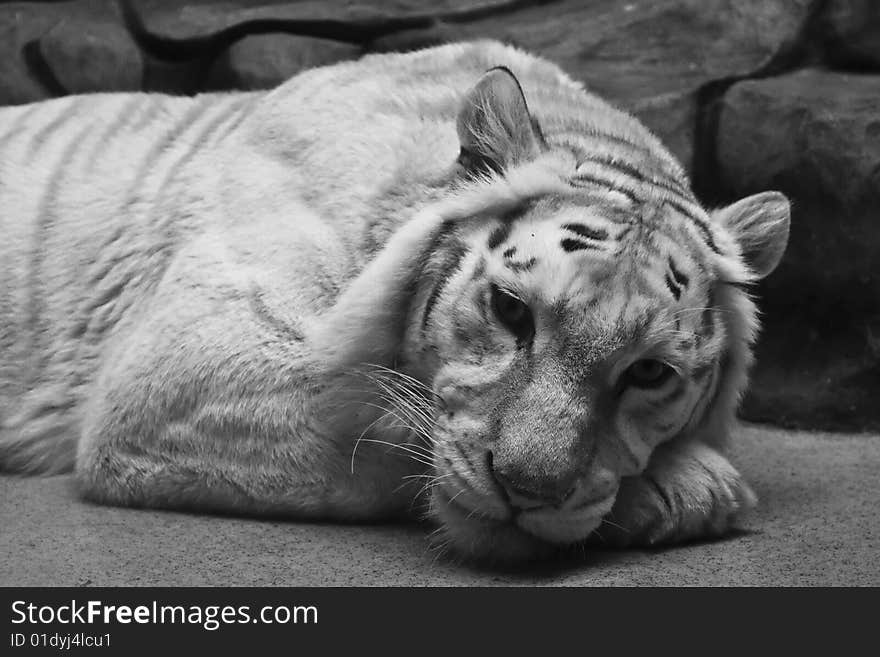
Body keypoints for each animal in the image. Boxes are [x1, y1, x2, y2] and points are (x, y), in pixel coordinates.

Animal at [0, 41, 792, 560]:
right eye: (511, 310)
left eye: (650, 372)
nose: (527, 490)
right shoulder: (176, 376)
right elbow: (393, 424)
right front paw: (695, 487)